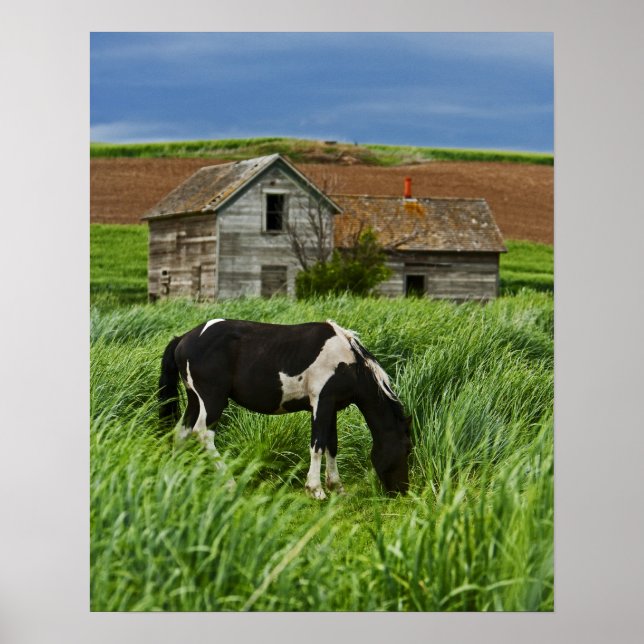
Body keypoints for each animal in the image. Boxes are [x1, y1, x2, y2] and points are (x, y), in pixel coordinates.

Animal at [158, 318, 411, 497]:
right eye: (407, 449)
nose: (402, 491)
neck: (349, 364)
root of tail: (183, 339)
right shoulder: (321, 402)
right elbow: (317, 445)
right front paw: (315, 489)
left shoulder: (331, 406)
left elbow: (332, 445)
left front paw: (337, 487)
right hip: (212, 399)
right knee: (202, 433)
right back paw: (229, 482)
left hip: (194, 399)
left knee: (182, 432)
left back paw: (177, 476)